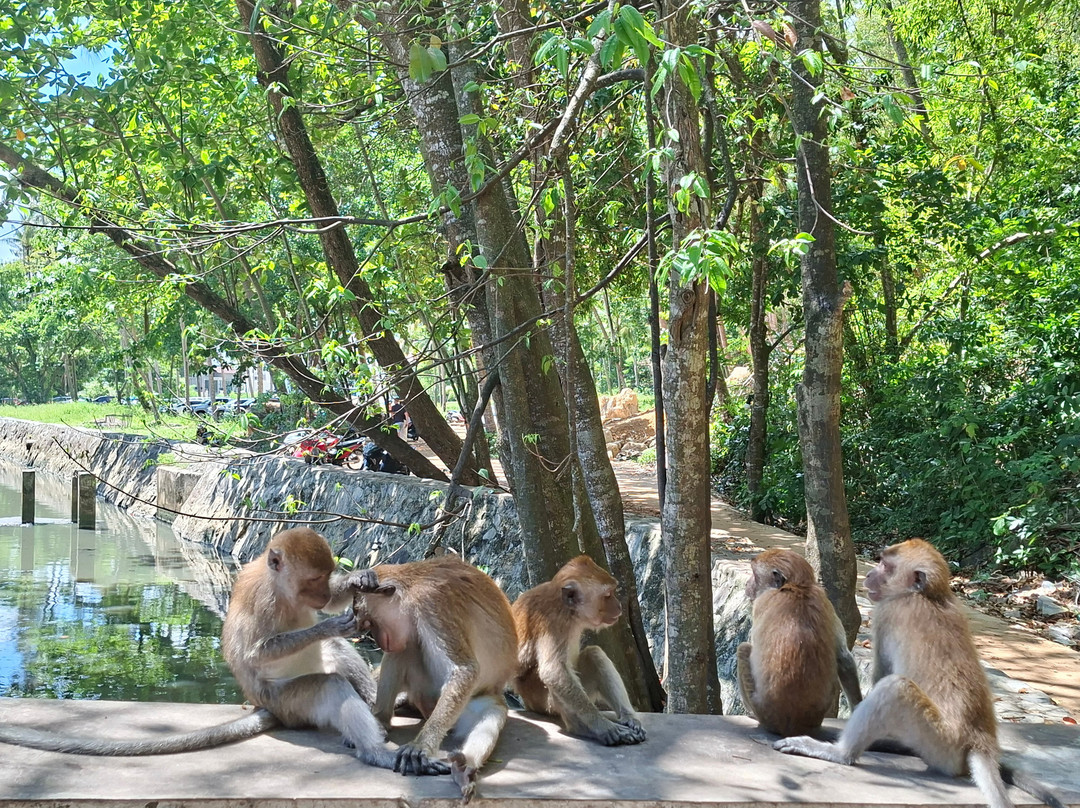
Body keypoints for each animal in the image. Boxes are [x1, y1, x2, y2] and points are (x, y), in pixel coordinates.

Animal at [350, 554, 518, 802]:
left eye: (370, 623)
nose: (378, 640)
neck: (411, 589)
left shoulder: (431, 603)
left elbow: (465, 670)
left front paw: (420, 747)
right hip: (423, 692)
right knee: (405, 648)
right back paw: (380, 719)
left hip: (469, 702)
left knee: (489, 717)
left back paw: (464, 768)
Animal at [511, 554, 647, 746]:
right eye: (607, 595)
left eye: (613, 591)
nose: (619, 606)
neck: (568, 611)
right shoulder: (552, 624)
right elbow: (553, 672)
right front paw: (604, 726)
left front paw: (628, 719)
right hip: (538, 700)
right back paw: (582, 728)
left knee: (594, 654)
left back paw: (628, 718)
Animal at [736, 548, 862, 737]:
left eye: (754, 575)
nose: (747, 584)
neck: (797, 587)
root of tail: (794, 726)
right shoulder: (827, 602)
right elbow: (844, 658)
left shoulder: (761, 603)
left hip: (762, 710)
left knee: (743, 648)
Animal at [773, 539, 1067, 808]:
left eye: (885, 566)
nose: (868, 575)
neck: (927, 595)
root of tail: (980, 742)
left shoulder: (887, 612)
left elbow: (880, 676)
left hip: (940, 742)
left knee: (894, 689)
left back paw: (840, 753)